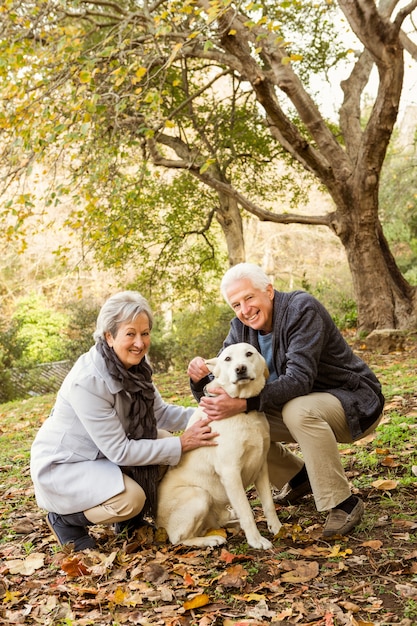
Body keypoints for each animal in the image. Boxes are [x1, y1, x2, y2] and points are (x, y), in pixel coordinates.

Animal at [155, 342, 280, 544]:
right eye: (227, 359)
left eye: (249, 354)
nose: (240, 369)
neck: (243, 412)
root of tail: (157, 523)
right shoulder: (230, 472)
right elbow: (246, 511)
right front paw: (256, 541)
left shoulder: (261, 466)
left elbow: (268, 503)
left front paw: (277, 528)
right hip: (199, 496)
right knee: (178, 539)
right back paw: (210, 540)